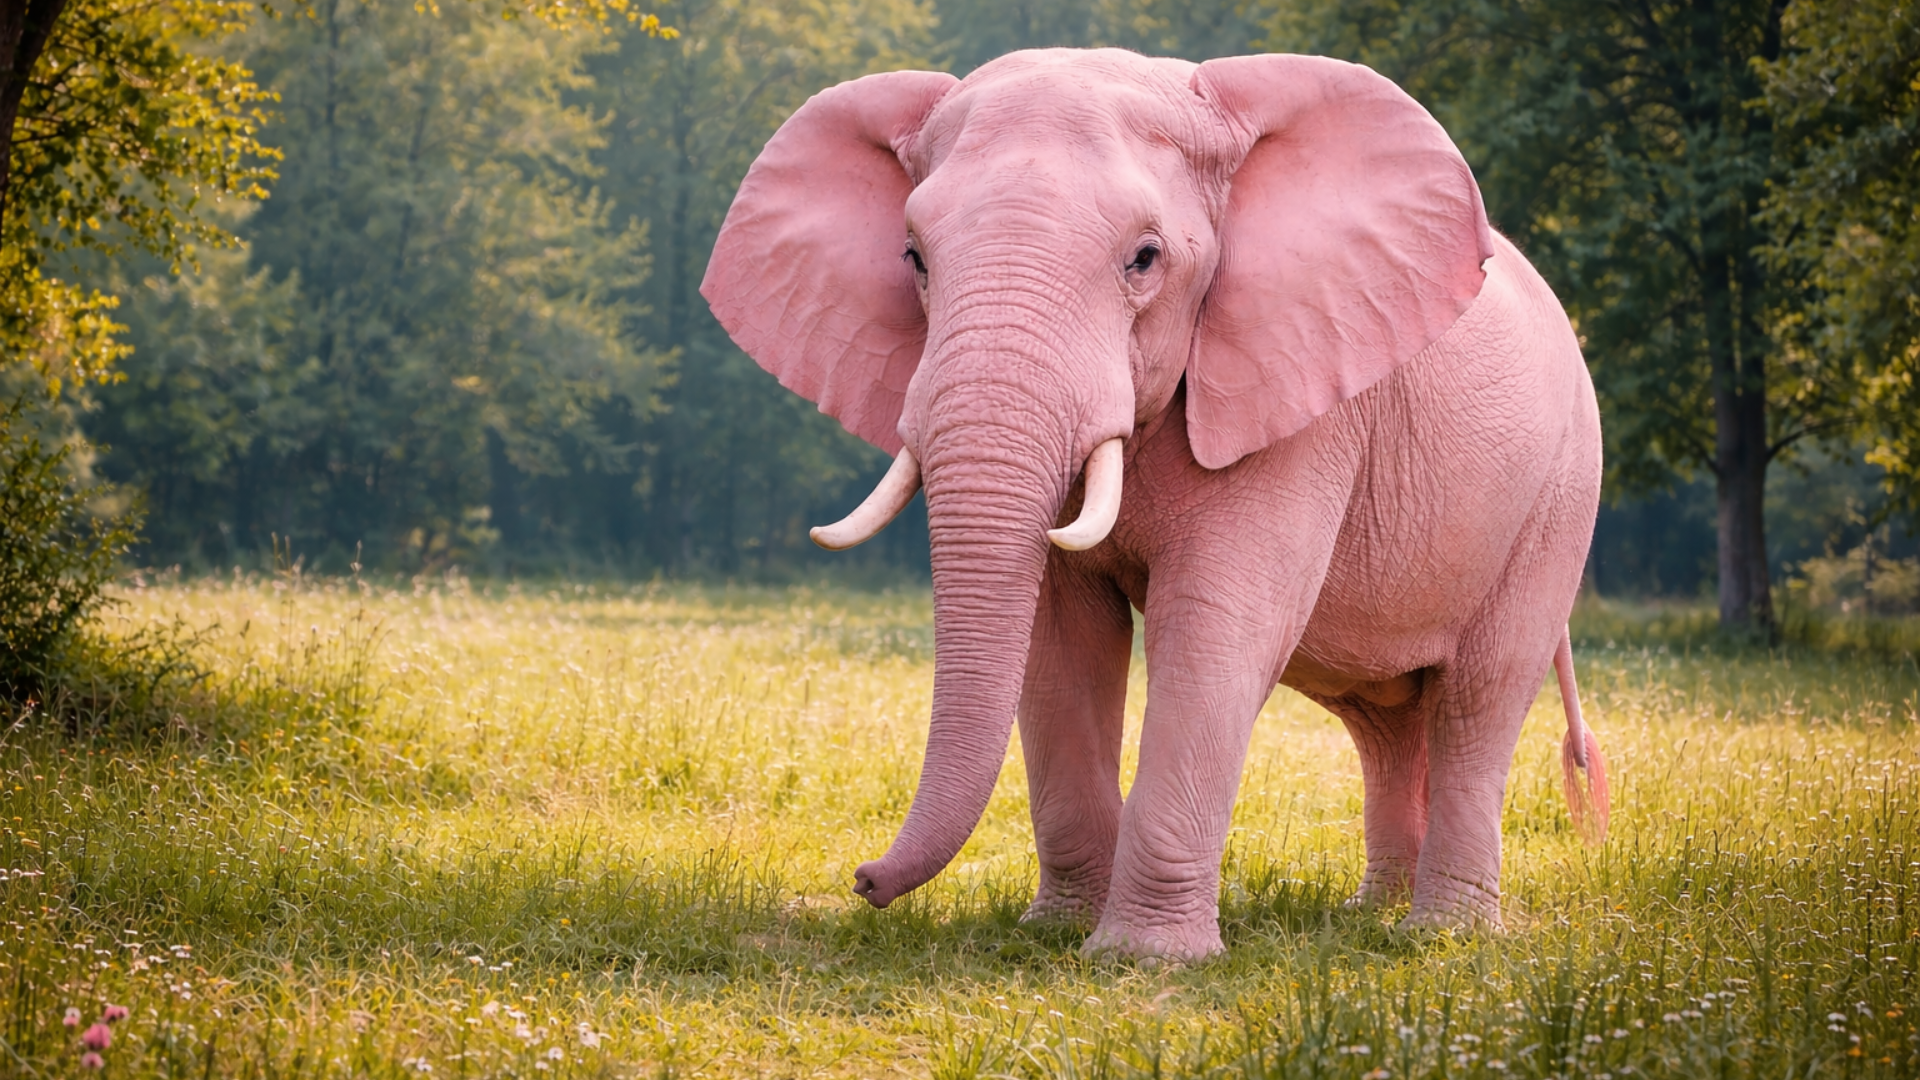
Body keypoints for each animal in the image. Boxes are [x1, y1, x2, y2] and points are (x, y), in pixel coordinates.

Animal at [700, 47, 1611, 961]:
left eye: (1145, 258)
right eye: (914, 258)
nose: (862, 880)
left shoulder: (1293, 403)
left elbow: (1217, 620)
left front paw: (1142, 958)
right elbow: (1059, 635)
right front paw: (1060, 932)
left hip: (1560, 494)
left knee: (1479, 698)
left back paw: (1442, 938)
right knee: (1386, 722)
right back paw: (1369, 916)